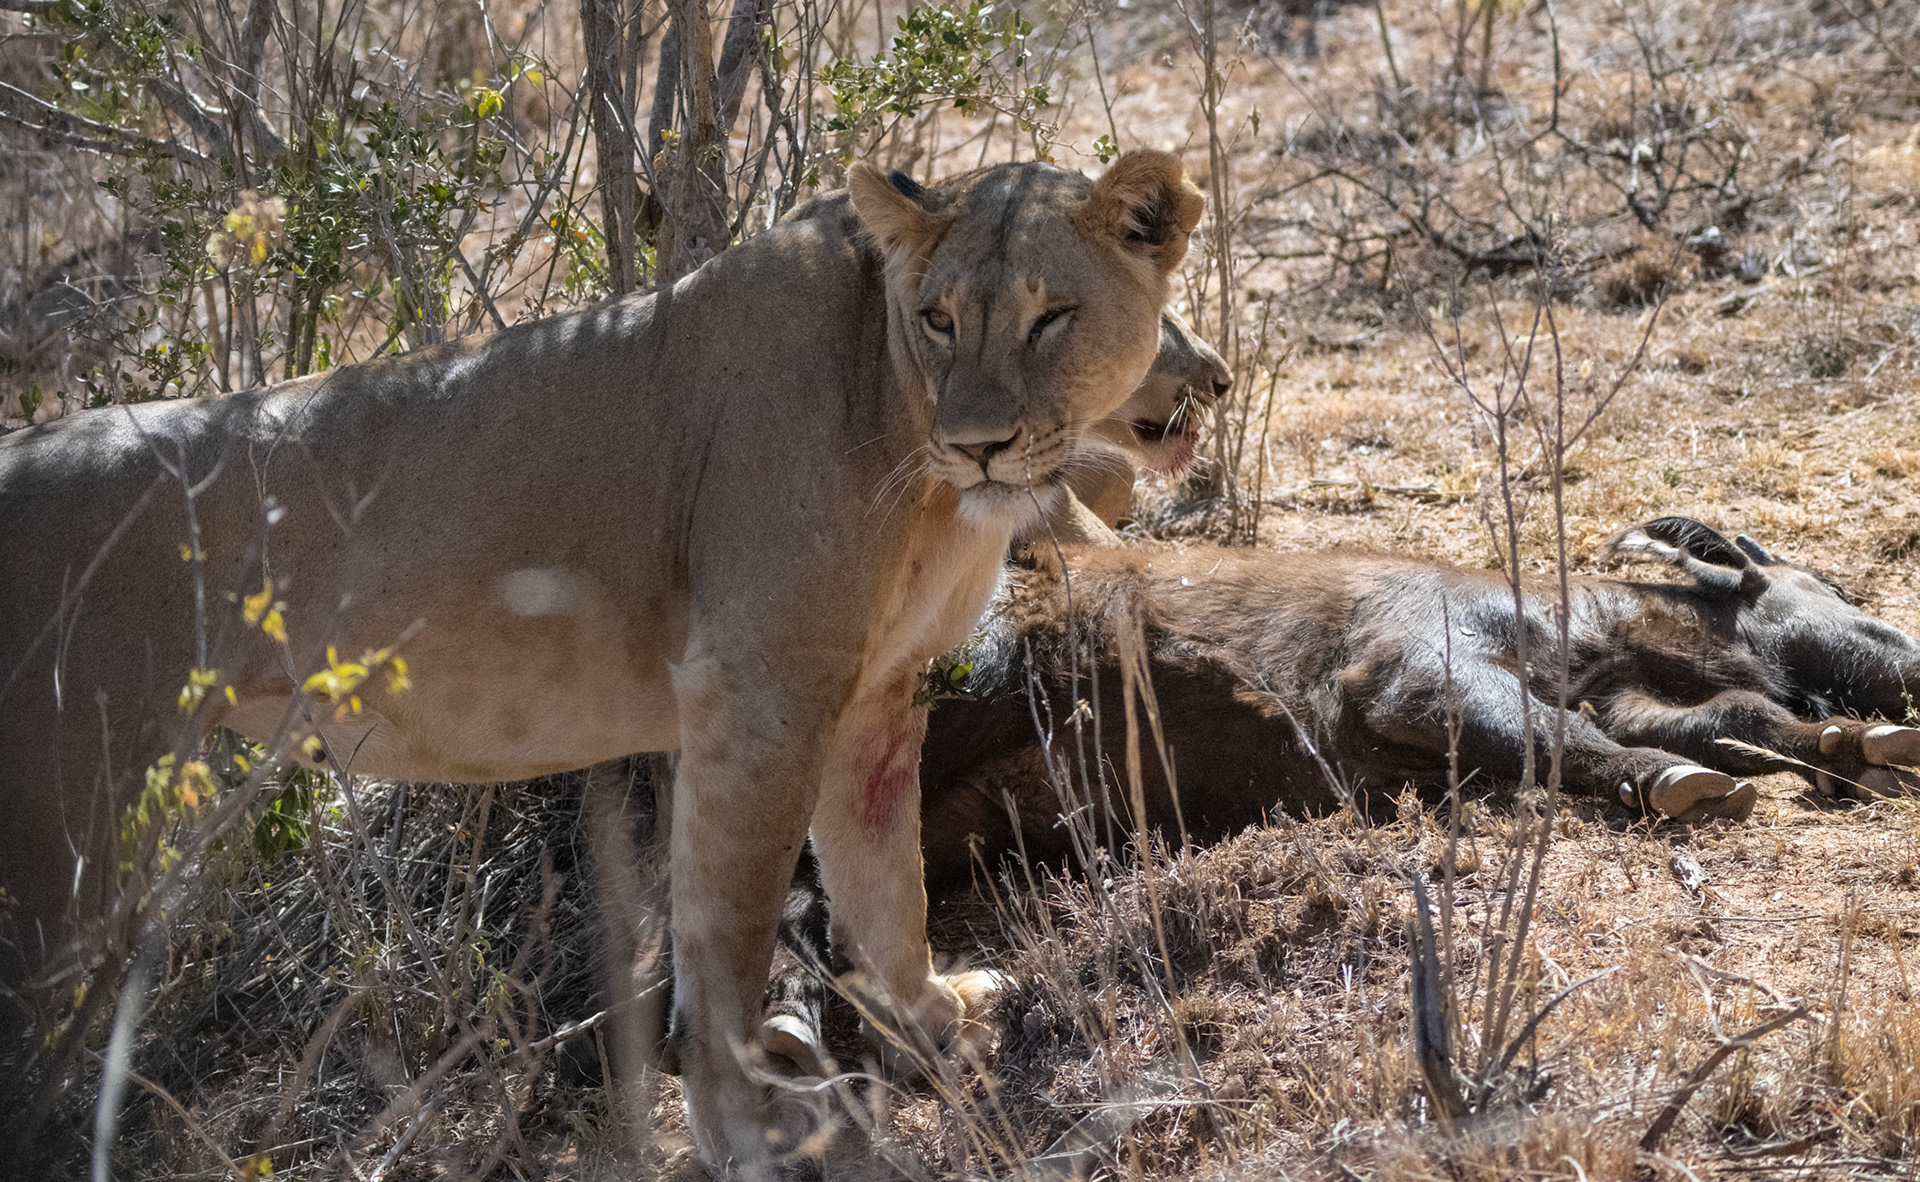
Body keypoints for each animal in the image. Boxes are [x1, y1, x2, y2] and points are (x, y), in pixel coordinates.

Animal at [0, 151, 1203, 1171]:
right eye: (941, 321)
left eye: (1052, 318)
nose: (981, 445)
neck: (916, 449)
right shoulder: (753, 692)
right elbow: (725, 944)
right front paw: (749, 1133)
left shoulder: (872, 696)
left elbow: (883, 881)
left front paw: (932, 1018)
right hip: (62, 858)